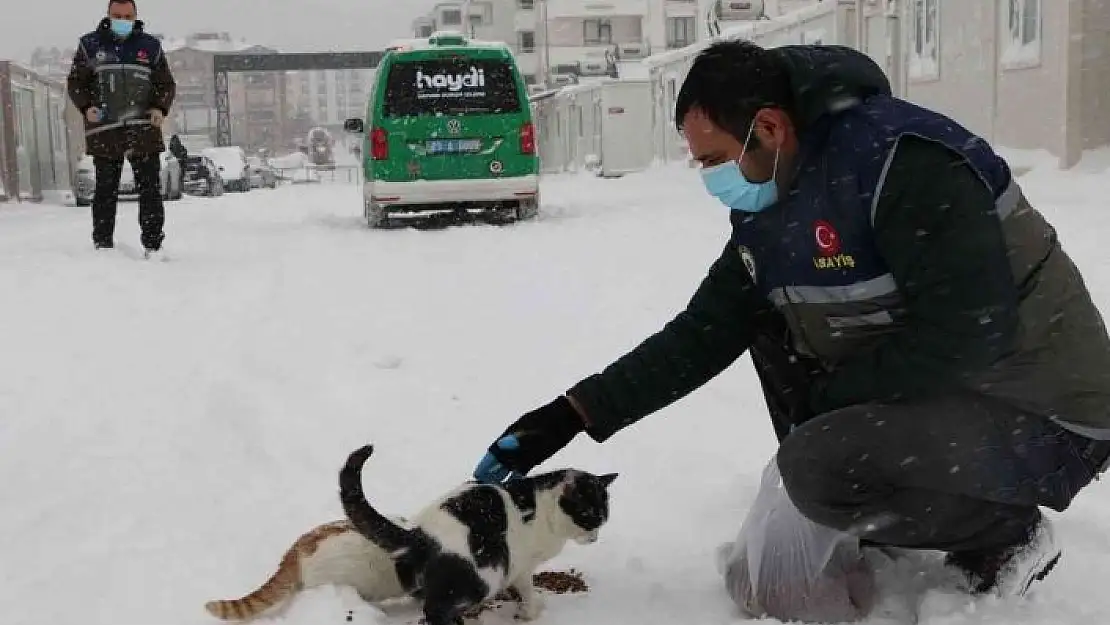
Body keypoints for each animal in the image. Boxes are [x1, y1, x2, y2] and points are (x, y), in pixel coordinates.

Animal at [337, 444, 617, 625]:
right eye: (589, 517)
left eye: (603, 519)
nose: (594, 538)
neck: (545, 508)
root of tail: (419, 534)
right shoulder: (522, 565)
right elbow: (526, 589)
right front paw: (529, 612)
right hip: (484, 575)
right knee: (434, 610)